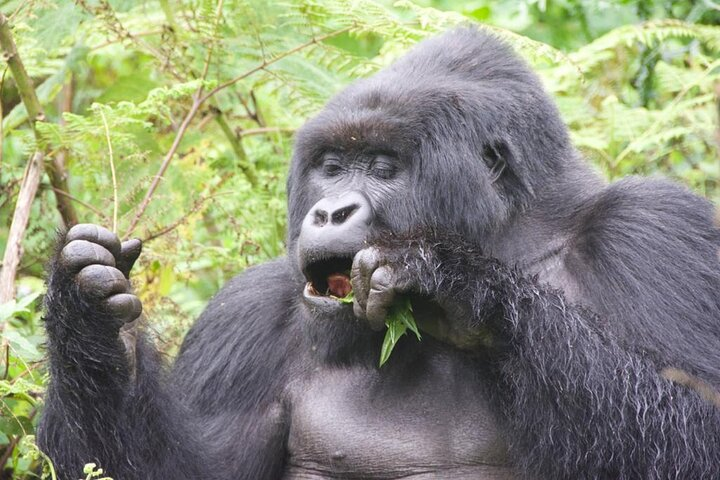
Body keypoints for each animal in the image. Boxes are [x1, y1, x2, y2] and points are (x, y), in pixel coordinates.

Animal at [38, 27, 720, 480]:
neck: (516, 235)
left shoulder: (653, 231)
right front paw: (93, 322)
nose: (330, 212)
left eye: (383, 167)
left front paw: (457, 285)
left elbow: (698, 432)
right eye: (332, 166)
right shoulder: (245, 313)